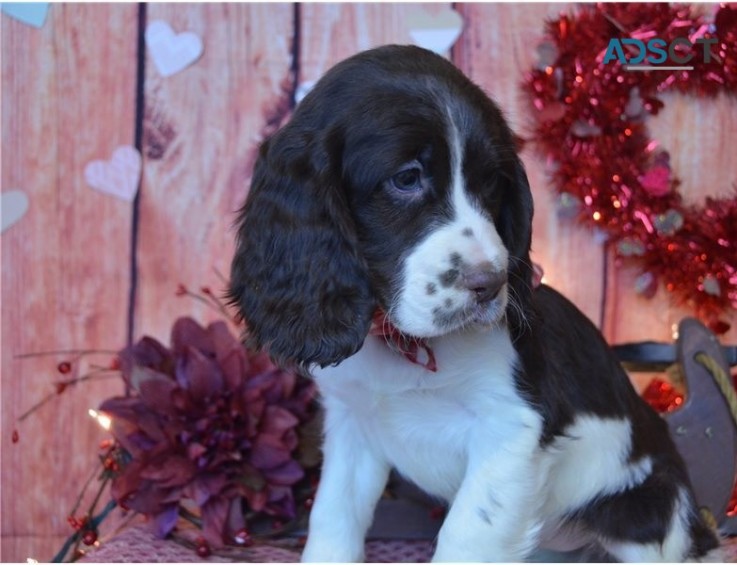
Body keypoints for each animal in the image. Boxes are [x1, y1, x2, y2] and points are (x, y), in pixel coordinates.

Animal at [227, 45, 716, 560]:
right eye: (407, 178)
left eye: (492, 182)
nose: (492, 284)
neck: (405, 343)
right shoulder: (353, 422)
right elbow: (333, 516)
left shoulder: (510, 428)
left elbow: (466, 534)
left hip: (647, 507)